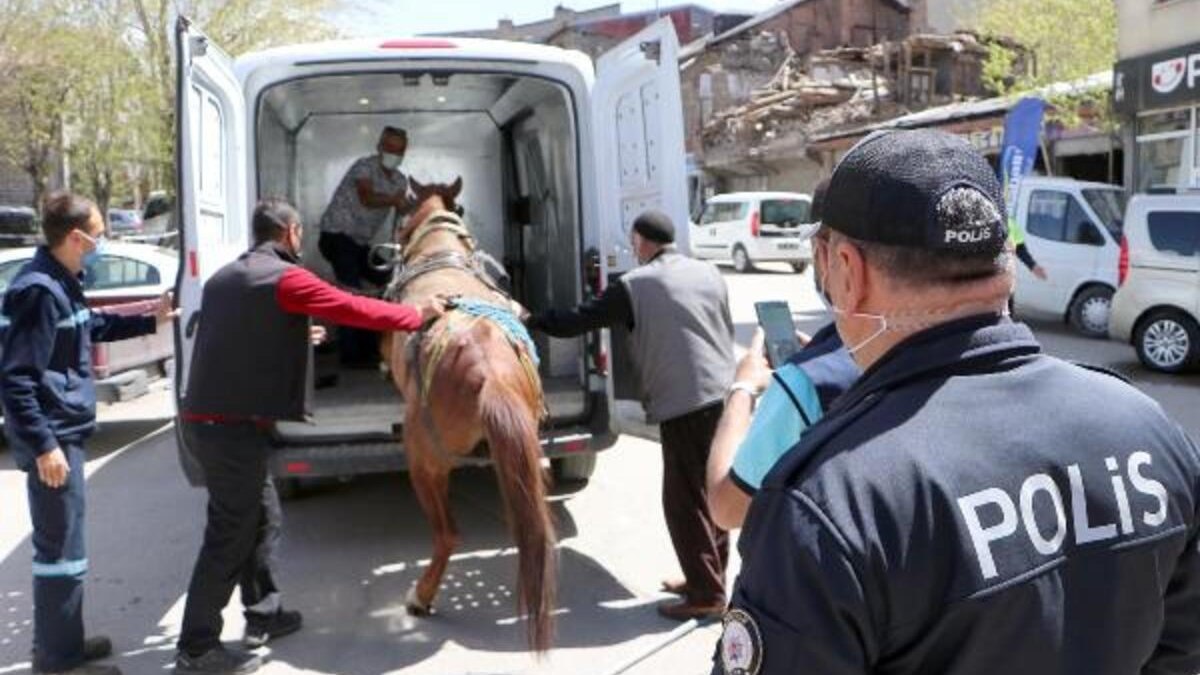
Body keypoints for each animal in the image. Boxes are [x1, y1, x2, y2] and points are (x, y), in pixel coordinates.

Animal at [386, 176, 554, 648]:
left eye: (399, 208)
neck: (438, 250)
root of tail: (490, 375)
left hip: (425, 462)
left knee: (447, 534)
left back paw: (421, 597)